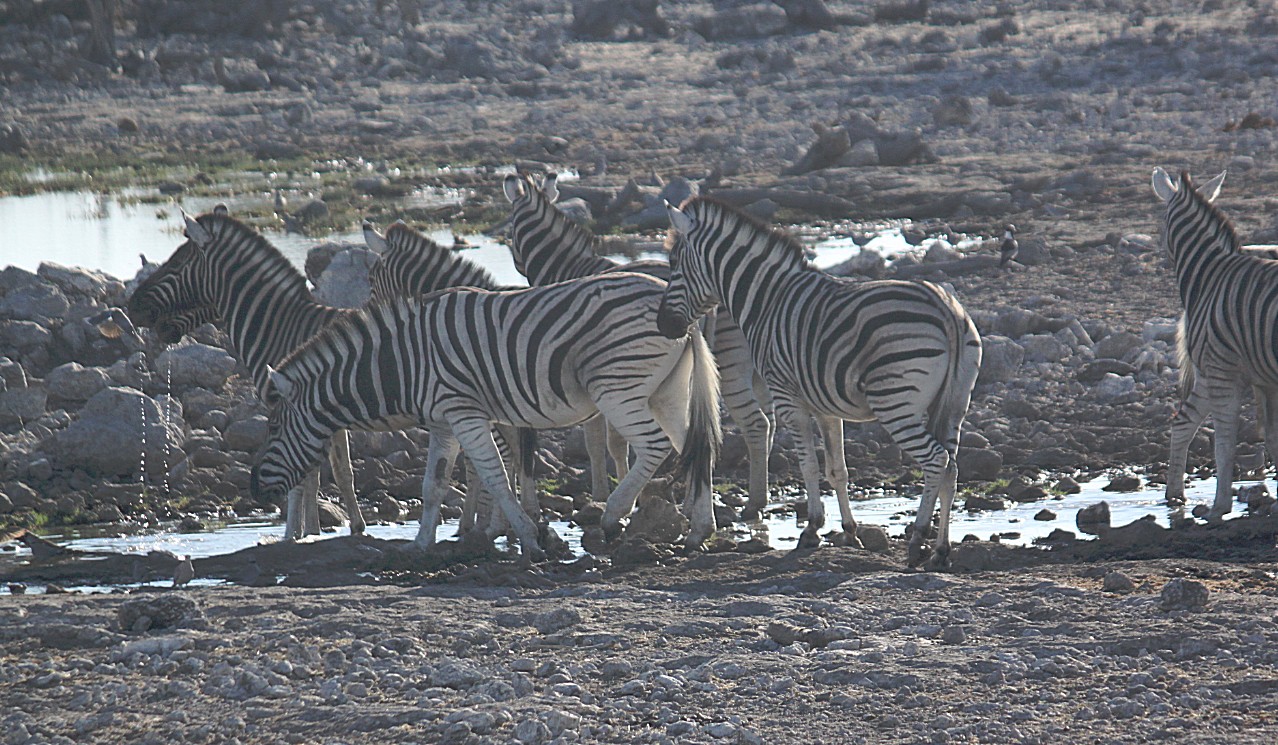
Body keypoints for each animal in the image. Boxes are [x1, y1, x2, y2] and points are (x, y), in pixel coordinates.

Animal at [126, 209, 368, 541]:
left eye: (174, 265)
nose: (132, 305)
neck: (283, 329)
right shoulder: (321, 414)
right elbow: (334, 473)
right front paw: (328, 530)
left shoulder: (296, 406)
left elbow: (303, 476)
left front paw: (294, 534)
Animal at [253, 270, 725, 557]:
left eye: (274, 426)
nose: (257, 489)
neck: (403, 361)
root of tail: (678, 310)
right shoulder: (442, 422)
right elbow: (433, 485)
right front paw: (420, 544)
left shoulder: (464, 411)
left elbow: (495, 475)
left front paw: (529, 538)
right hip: (666, 392)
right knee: (696, 447)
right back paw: (699, 530)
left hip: (618, 387)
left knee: (655, 445)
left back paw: (613, 515)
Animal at [503, 172, 771, 521]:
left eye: (509, 233)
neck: (567, 267)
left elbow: (600, 443)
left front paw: (605, 495)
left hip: (725, 364)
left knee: (753, 424)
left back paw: (749, 502)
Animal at [654, 198, 981, 572]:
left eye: (673, 265)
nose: (663, 325)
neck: (766, 299)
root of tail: (946, 309)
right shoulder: (827, 406)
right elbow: (837, 470)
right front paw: (850, 531)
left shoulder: (787, 398)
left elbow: (809, 465)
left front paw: (811, 530)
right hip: (955, 402)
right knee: (951, 467)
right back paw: (941, 550)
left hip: (895, 402)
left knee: (936, 460)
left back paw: (917, 543)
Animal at [1155, 168, 1278, 518]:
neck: (1208, 276)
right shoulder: (1260, 379)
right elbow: (1272, 438)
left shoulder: (1220, 372)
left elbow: (1224, 441)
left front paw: (1219, 506)